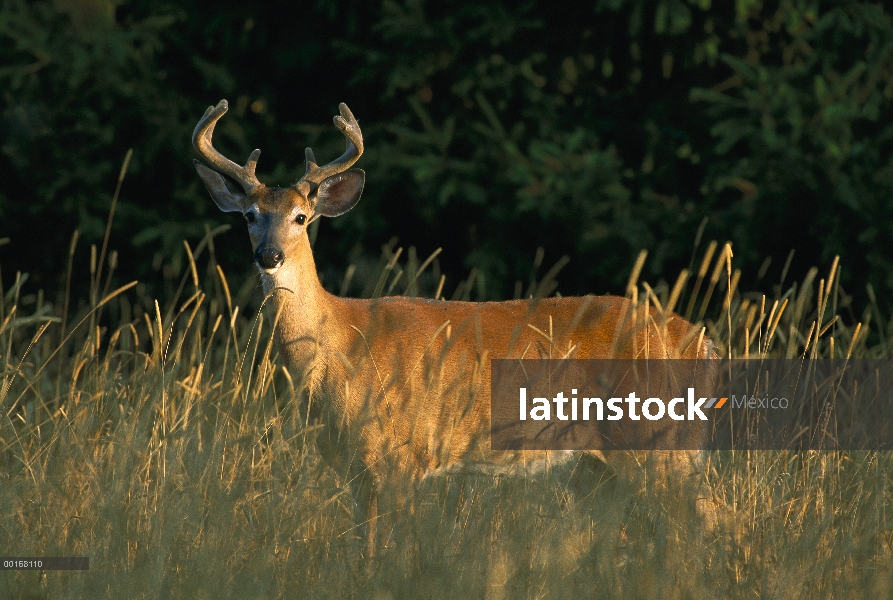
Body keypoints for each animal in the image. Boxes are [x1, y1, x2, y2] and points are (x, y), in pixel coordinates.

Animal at [192, 99, 720, 556]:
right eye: (250, 216)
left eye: (302, 217)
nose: (270, 255)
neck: (340, 345)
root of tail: (702, 344)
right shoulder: (357, 469)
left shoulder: (402, 452)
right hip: (607, 461)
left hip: (656, 440)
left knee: (706, 517)